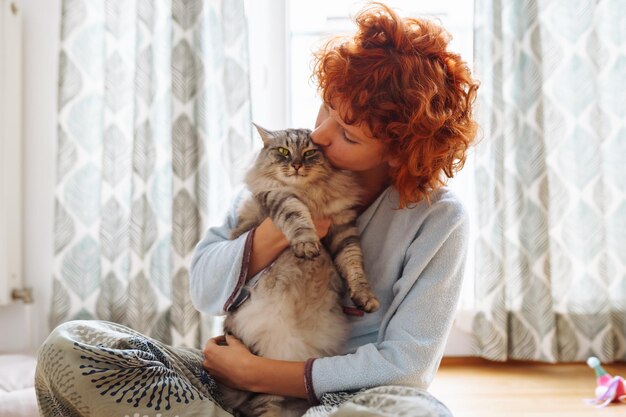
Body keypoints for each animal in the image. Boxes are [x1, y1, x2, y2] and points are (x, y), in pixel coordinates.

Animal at [217, 124, 378, 416]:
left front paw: (365, 297)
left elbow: (353, 264)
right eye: (283, 151)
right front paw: (306, 246)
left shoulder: (342, 226)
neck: (310, 192)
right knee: (261, 406)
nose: (295, 164)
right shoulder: (278, 197)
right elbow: (297, 217)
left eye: (310, 152)